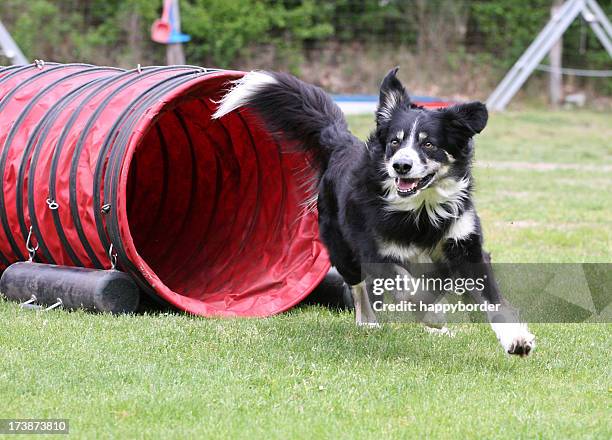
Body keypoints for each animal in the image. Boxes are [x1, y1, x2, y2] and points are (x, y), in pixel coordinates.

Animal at [214, 69, 536, 358]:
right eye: (395, 141)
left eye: (428, 143)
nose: (401, 166)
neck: (421, 209)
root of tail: (342, 144)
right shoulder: (374, 249)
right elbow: (405, 284)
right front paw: (429, 312)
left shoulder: (464, 244)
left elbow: (489, 297)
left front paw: (515, 338)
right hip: (342, 248)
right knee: (358, 287)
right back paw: (369, 322)